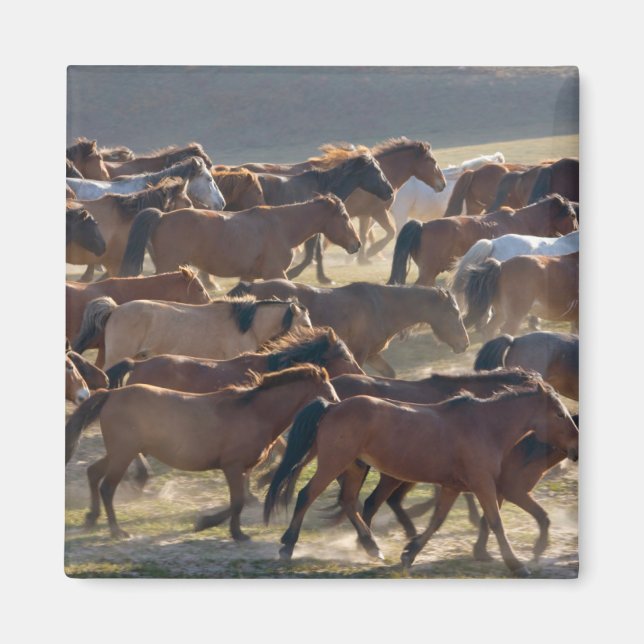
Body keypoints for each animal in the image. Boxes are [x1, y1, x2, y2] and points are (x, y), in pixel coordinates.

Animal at [65, 364, 339, 541]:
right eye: (328, 392)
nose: (336, 410)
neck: (255, 412)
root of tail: (111, 394)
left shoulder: (243, 468)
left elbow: (240, 500)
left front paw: (214, 526)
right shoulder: (232, 466)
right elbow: (237, 501)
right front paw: (232, 532)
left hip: (120, 452)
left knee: (93, 473)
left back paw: (91, 518)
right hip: (123, 454)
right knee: (107, 488)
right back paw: (116, 531)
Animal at [118, 195, 361, 281]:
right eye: (344, 216)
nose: (356, 244)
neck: (281, 226)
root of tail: (163, 216)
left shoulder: (250, 277)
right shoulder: (275, 273)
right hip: (167, 266)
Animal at [228, 280, 469, 377]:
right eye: (454, 313)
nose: (465, 344)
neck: (382, 307)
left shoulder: (372, 354)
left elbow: (390, 374)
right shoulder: (359, 354)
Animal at [264, 374, 578, 576]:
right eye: (560, 414)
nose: (576, 448)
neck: (485, 426)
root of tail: (333, 405)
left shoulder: (453, 487)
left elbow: (436, 522)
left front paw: (409, 553)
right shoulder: (484, 484)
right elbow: (496, 522)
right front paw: (517, 564)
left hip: (354, 467)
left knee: (350, 502)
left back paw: (371, 547)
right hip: (334, 463)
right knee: (308, 494)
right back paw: (288, 545)